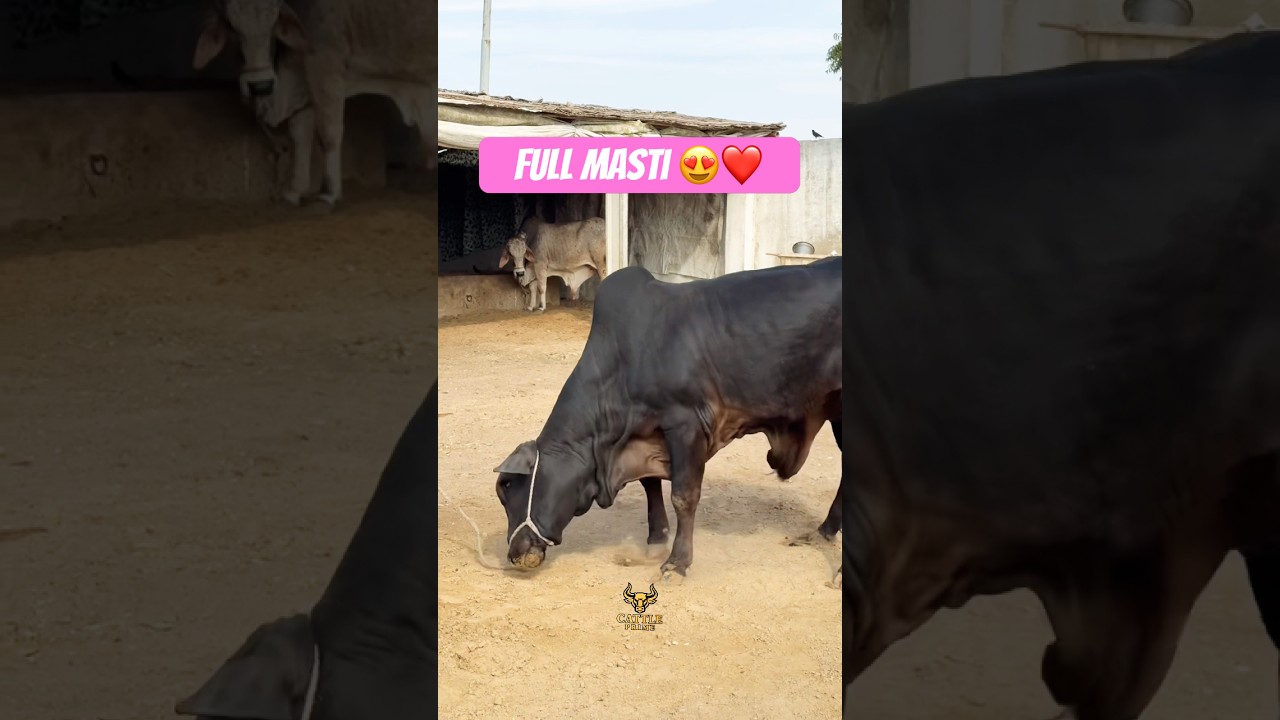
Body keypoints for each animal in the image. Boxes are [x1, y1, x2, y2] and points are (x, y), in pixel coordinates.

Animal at [191, 0, 437, 208]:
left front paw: (329, 194)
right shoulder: (305, 82)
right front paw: (294, 191)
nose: (260, 86)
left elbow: (328, 133)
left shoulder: (325, 66)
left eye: (274, 20)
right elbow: (299, 134)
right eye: (231, 26)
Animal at [492, 258, 842, 578]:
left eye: (508, 489)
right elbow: (650, 484)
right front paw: (656, 540)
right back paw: (823, 532)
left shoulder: (685, 424)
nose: (513, 553)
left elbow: (683, 497)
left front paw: (677, 562)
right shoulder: (648, 431)